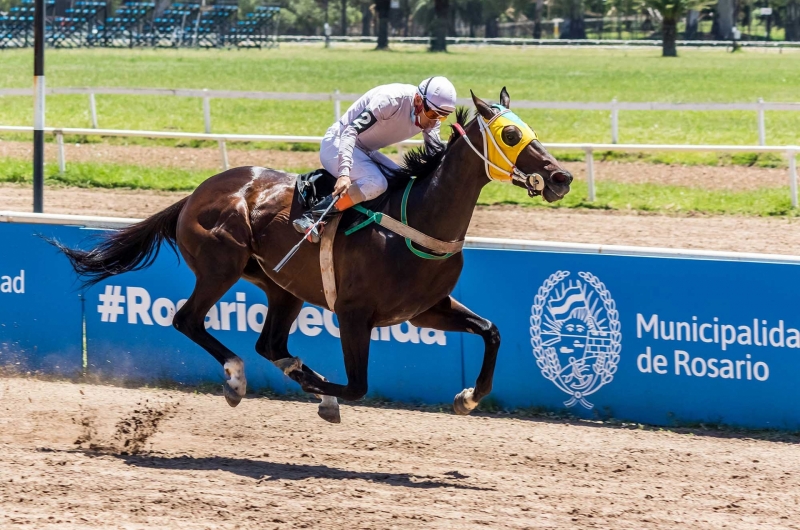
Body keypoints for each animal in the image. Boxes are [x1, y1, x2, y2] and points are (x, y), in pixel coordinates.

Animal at [54, 88, 568, 422]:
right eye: (509, 135)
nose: (561, 177)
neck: (420, 221)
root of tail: (196, 195)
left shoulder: (425, 308)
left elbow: (491, 331)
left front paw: (468, 397)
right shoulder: (354, 314)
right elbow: (358, 385)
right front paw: (319, 388)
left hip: (283, 287)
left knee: (269, 344)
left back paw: (295, 376)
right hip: (220, 266)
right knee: (188, 320)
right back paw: (239, 379)